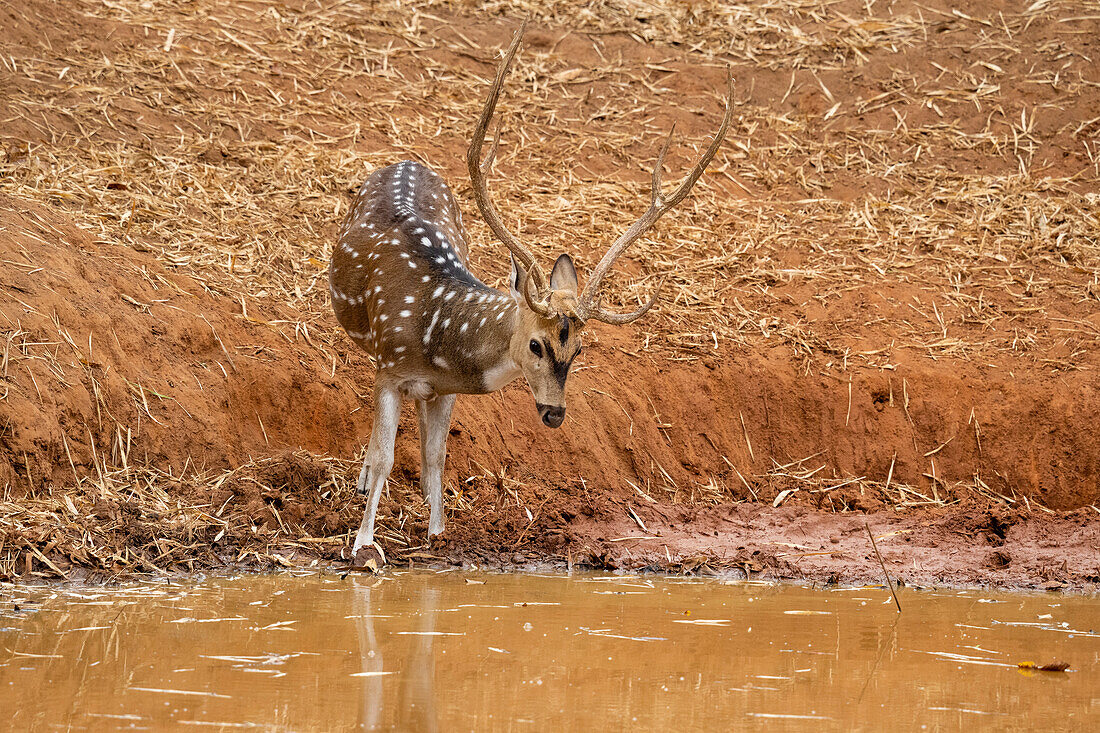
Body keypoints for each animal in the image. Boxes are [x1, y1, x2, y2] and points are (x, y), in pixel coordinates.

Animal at [330, 19, 734, 550]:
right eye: (537, 345)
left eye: (579, 349)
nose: (555, 415)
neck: (438, 332)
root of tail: (406, 161)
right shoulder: (391, 369)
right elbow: (385, 457)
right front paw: (363, 544)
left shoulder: (444, 389)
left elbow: (436, 457)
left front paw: (438, 533)